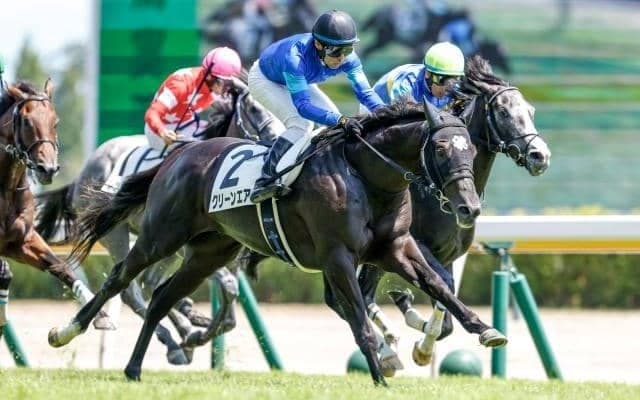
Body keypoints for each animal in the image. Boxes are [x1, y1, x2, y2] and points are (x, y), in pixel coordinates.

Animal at [0, 80, 113, 341]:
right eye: (27, 121)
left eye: (56, 121)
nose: (47, 169)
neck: (5, 186)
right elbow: (5, 274)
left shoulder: (21, 241)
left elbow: (60, 267)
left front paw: (100, 317)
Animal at [34, 80, 281, 364]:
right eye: (254, 108)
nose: (278, 139)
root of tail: (80, 177)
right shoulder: (191, 246)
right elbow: (228, 287)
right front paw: (195, 334)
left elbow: (229, 303)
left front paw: (198, 328)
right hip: (121, 235)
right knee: (131, 289)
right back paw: (174, 341)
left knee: (150, 283)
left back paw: (184, 326)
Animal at [48, 99, 507, 385]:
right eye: (442, 148)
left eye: (470, 150)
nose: (468, 207)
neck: (366, 175)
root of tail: (178, 155)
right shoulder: (337, 256)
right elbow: (359, 318)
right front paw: (379, 374)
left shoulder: (395, 249)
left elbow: (439, 288)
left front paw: (486, 330)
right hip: (160, 236)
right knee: (120, 280)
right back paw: (67, 331)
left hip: (209, 251)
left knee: (161, 296)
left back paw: (136, 367)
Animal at [353, 55, 551, 367]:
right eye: (503, 112)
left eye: (530, 110)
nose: (540, 156)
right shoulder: (417, 245)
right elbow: (443, 287)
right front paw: (421, 343)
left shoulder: (449, 253)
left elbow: (446, 310)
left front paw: (421, 340)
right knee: (363, 291)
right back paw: (388, 350)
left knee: (365, 291)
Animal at [360, 5, 512, 74]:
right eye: (500, 53)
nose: (510, 70)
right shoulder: (421, 48)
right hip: (385, 39)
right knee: (367, 51)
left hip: (382, 39)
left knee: (368, 50)